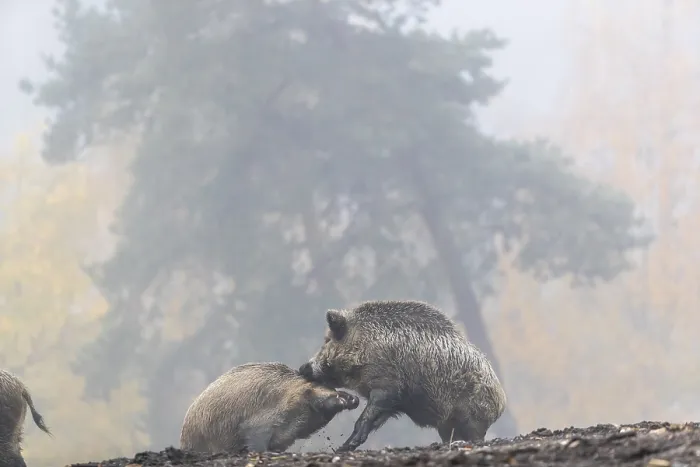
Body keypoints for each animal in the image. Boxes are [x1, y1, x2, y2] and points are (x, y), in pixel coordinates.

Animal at [299, 300, 507, 451]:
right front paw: (346, 447)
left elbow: (365, 416)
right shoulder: (394, 403)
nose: (302, 368)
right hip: (447, 424)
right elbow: (375, 420)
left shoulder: (387, 386)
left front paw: (346, 446)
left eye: (327, 340)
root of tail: (502, 401)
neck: (364, 346)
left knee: (476, 436)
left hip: (472, 416)